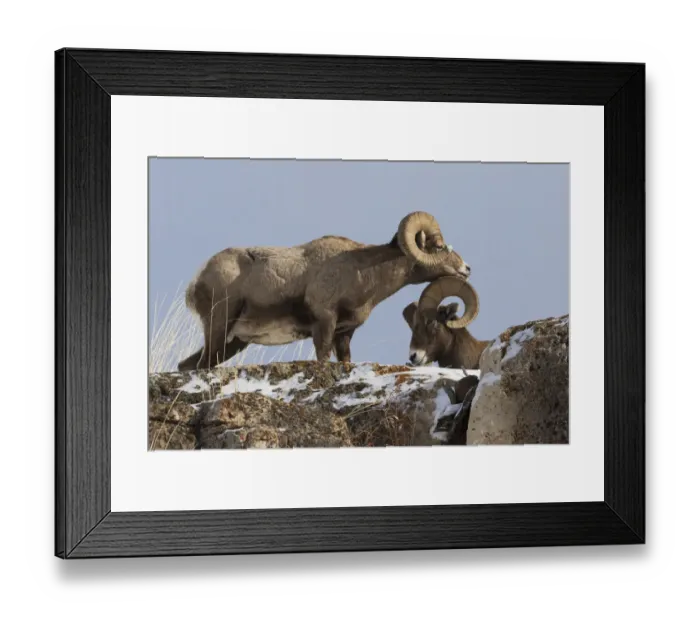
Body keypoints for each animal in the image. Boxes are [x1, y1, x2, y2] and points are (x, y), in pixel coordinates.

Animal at [176, 212, 472, 371]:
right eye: (439, 246)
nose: (466, 268)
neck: (364, 271)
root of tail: (197, 281)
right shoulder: (324, 325)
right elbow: (322, 357)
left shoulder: (344, 334)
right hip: (219, 327)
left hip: (233, 342)